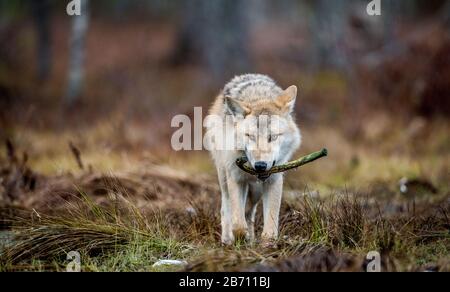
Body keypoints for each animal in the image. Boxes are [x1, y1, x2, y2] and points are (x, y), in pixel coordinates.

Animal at [207, 74, 302, 245]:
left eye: (272, 137)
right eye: (250, 136)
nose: (260, 165)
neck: (258, 96)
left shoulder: (274, 180)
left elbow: (270, 225)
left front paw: (267, 244)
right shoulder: (236, 179)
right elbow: (238, 224)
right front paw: (240, 237)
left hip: (256, 191)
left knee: (249, 213)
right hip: (224, 179)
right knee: (227, 209)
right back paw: (227, 239)